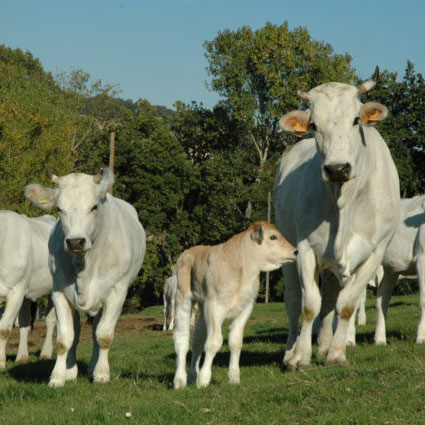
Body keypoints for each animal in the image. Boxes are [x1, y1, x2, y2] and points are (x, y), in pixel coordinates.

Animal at [0, 212, 56, 368]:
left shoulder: (16, 291)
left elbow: (4, 329)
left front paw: (1, 362)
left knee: (50, 321)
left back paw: (45, 353)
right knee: (25, 323)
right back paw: (22, 357)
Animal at [24, 167, 145, 386]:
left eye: (93, 207)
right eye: (59, 209)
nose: (75, 241)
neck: (84, 268)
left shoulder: (117, 292)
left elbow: (104, 335)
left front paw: (102, 374)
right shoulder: (59, 291)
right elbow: (64, 339)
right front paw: (58, 376)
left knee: (97, 330)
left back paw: (93, 368)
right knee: (77, 332)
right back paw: (71, 370)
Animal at [171, 220, 294, 390]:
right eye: (273, 237)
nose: (295, 251)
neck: (243, 272)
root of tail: (189, 251)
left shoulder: (246, 307)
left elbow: (235, 342)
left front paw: (234, 377)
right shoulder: (215, 307)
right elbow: (214, 343)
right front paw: (204, 379)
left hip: (203, 308)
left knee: (197, 342)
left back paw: (192, 376)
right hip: (183, 299)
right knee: (182, 339)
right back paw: (180, 380)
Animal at [274, 69, 400, 368]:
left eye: (355, 120)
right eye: (313, 124)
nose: (337, 168)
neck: (345, 202)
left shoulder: (375, 253)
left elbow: (345, 305)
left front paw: (336, 353)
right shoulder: (305, 248)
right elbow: (310, 305)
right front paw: (301, 357)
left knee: (330, 300)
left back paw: (323, 346)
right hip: (288, 253)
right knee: (294, 302)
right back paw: (290, 350)